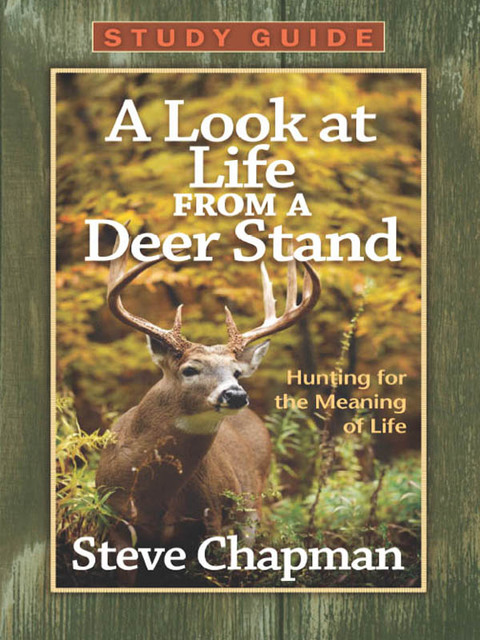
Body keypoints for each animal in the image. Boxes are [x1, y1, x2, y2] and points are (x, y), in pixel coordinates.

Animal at [95, 232, 320, 586]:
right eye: (190, 369)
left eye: (237, 371)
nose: (235, 394)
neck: (152, 496)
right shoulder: (114, 523)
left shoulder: (209, 520)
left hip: (251, 505)